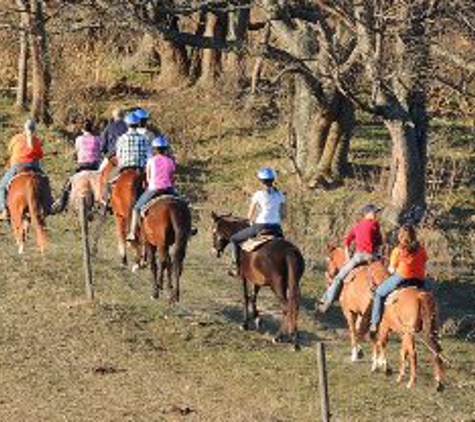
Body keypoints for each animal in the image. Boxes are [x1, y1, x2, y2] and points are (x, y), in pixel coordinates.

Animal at [211, 213, 306, 348]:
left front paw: (245, 324)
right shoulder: (257, 280)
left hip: (277, 286)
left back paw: (279, 337)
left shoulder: (243, 276)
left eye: (214, 232)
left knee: (286, 307)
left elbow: (246, 296)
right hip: (294, 284)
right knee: (295, 306)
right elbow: (253, 296)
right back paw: (294, 338)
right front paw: (257, 319)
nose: (215, 250)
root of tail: (289, 251)